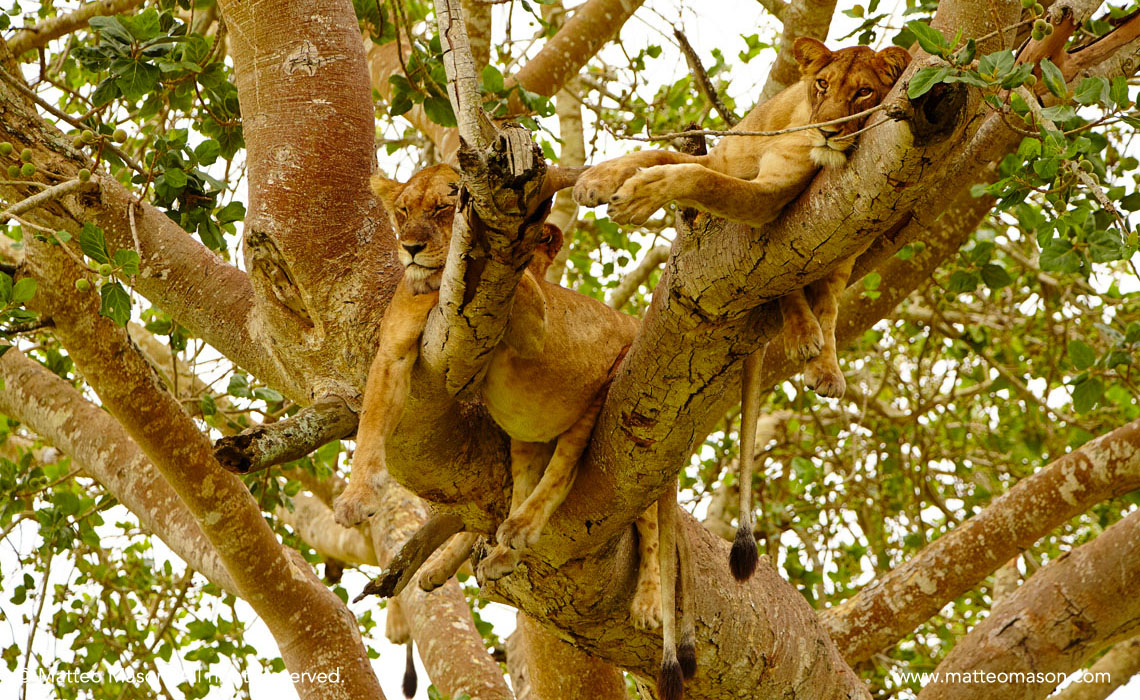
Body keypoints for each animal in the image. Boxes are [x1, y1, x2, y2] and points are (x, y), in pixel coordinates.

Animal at [332, 165, 697, 677]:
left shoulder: (536, 330)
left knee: (606, 500)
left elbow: (519, 280)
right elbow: (369, 426)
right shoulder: (393, 353)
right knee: (524, 483)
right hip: (526, 437)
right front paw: (357, 498)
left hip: (614, 384)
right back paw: (497, 552)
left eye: (443, 209)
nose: (411, 247)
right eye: (403, 211)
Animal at [575, 38, 909, 584]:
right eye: (822, 85)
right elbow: (663, 153)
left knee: (822, 299)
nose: (827, 131)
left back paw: (818, 356)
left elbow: (690, 173)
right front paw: (600, 181)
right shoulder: (728, 160)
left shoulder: (773, 195)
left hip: (843, 236)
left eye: (864, 92)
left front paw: (638, 195)